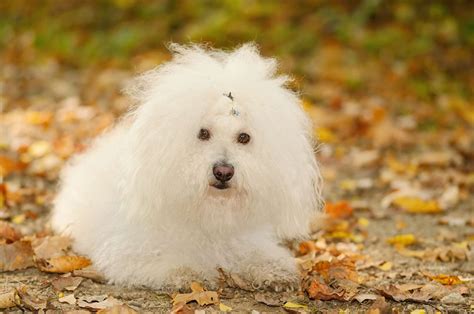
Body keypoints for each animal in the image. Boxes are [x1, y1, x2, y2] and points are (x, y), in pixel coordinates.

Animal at [52, 43, 326, 290]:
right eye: (203, 133)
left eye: (244, 138)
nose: (223, 172)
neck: (207, 213)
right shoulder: (129, 250)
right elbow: (166, 261)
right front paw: (187, 272)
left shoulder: (246, 239)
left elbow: (260, 254)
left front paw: (274, 270)